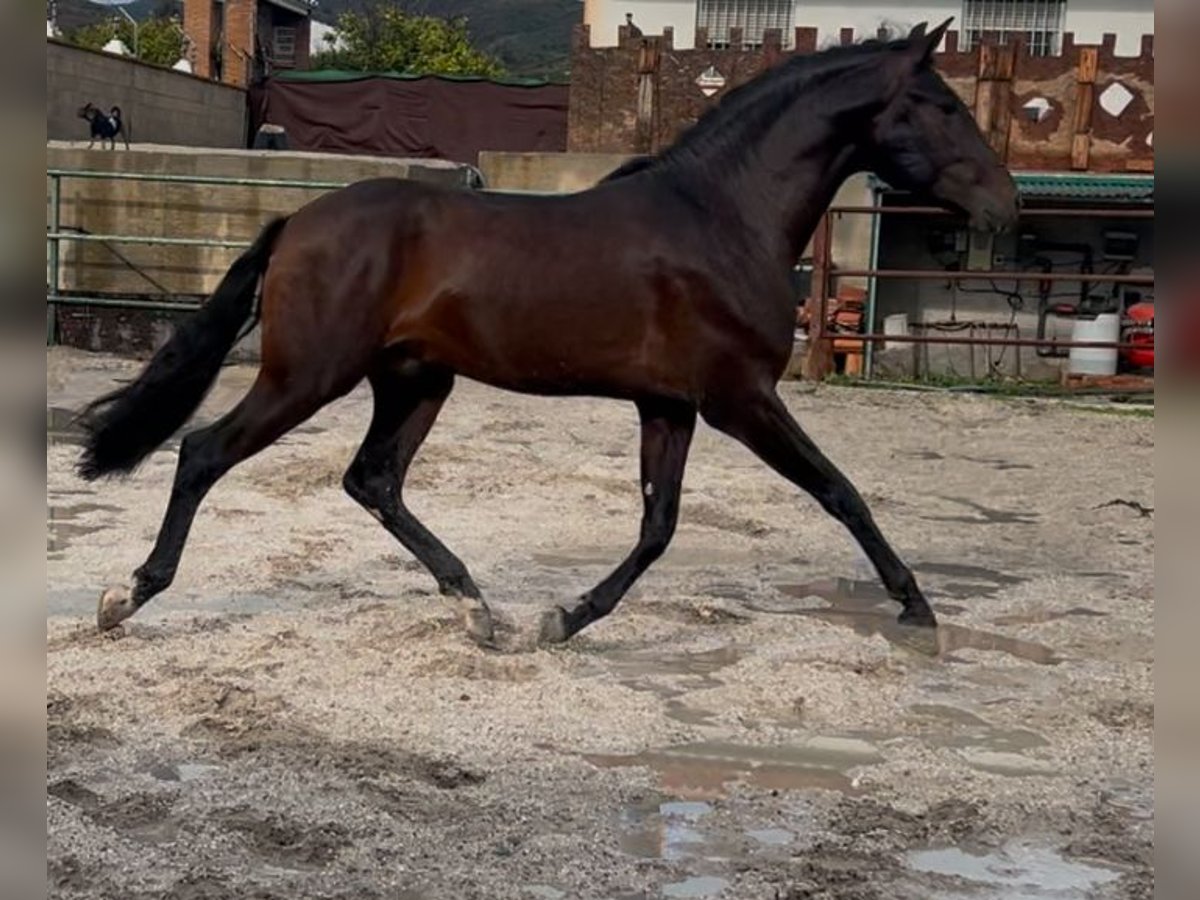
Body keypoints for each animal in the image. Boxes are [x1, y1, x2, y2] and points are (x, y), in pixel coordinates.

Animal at [75, 21, 1017, 648]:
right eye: (938, 104)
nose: (1004, 205)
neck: (721, 217)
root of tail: (294, 223)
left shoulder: (669, 406)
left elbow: (658, 525)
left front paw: (564, 618)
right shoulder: (740, 399)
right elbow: (839, 491)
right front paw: (917, 606)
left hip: (415, 380)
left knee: (373, 480)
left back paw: (478, 608)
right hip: (309, 375)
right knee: (204, 453)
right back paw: (126, 597)